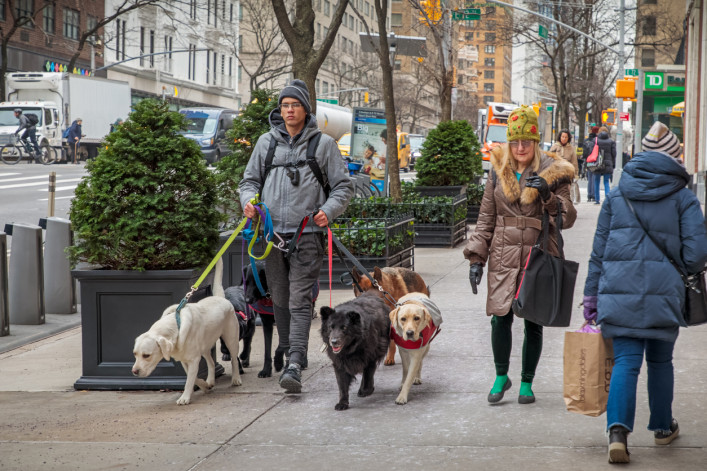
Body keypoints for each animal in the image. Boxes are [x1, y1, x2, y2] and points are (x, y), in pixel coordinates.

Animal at [131, 258, 242, 406]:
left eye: (146, 355)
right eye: (135, 354)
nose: (134, 371)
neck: (175, 327)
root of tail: (220, 297)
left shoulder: (194, 360)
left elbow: (190, 380)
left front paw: (185, 397)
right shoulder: (185, 359)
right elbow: (193, 378)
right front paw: (205, 386)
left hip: (231, 340)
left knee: (234, 359)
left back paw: (236, 378)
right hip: (205, 346)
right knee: (212, 362)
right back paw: (211, 380)